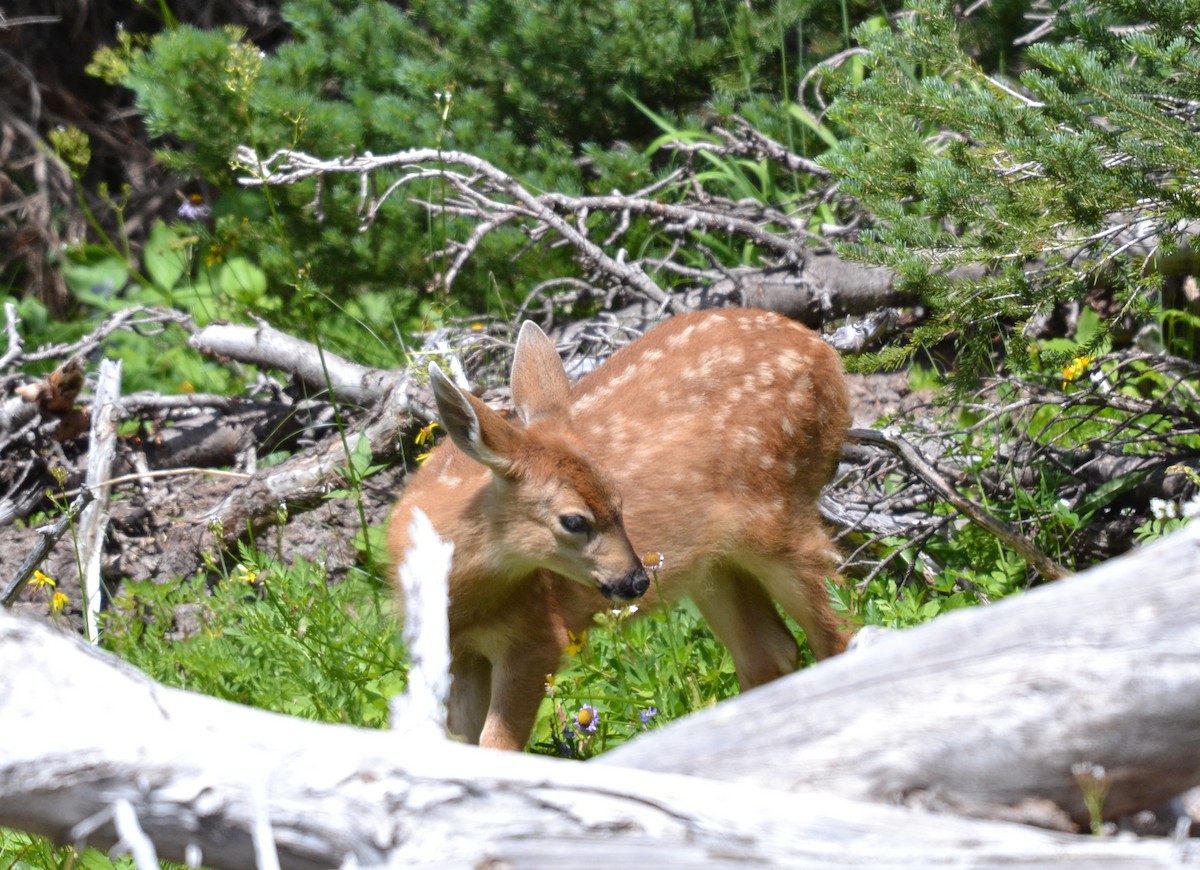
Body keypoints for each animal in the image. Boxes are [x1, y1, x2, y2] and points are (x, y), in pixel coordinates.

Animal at [387, 307, 853, 750]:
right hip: (713, 564)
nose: (636, 581)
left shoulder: (538, 636)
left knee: (840, 629)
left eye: (620, 501)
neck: (466, 599)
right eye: (574, 520)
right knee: (771, 651)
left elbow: (497, 746)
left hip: (778, 512)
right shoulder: (458, 652)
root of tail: (828, 355)